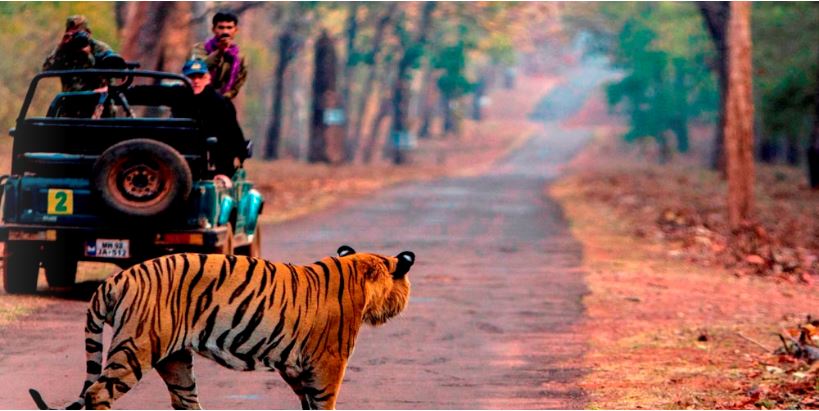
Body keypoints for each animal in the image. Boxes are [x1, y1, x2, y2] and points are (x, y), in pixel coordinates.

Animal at [30, 246, 416, 410]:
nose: (405, 303)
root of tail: (117, 278)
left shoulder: (294, 366)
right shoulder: (328, 363)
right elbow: (324, 403)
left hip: (176, 360)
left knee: (185, 400)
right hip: (136, 347)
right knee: (98, 393)